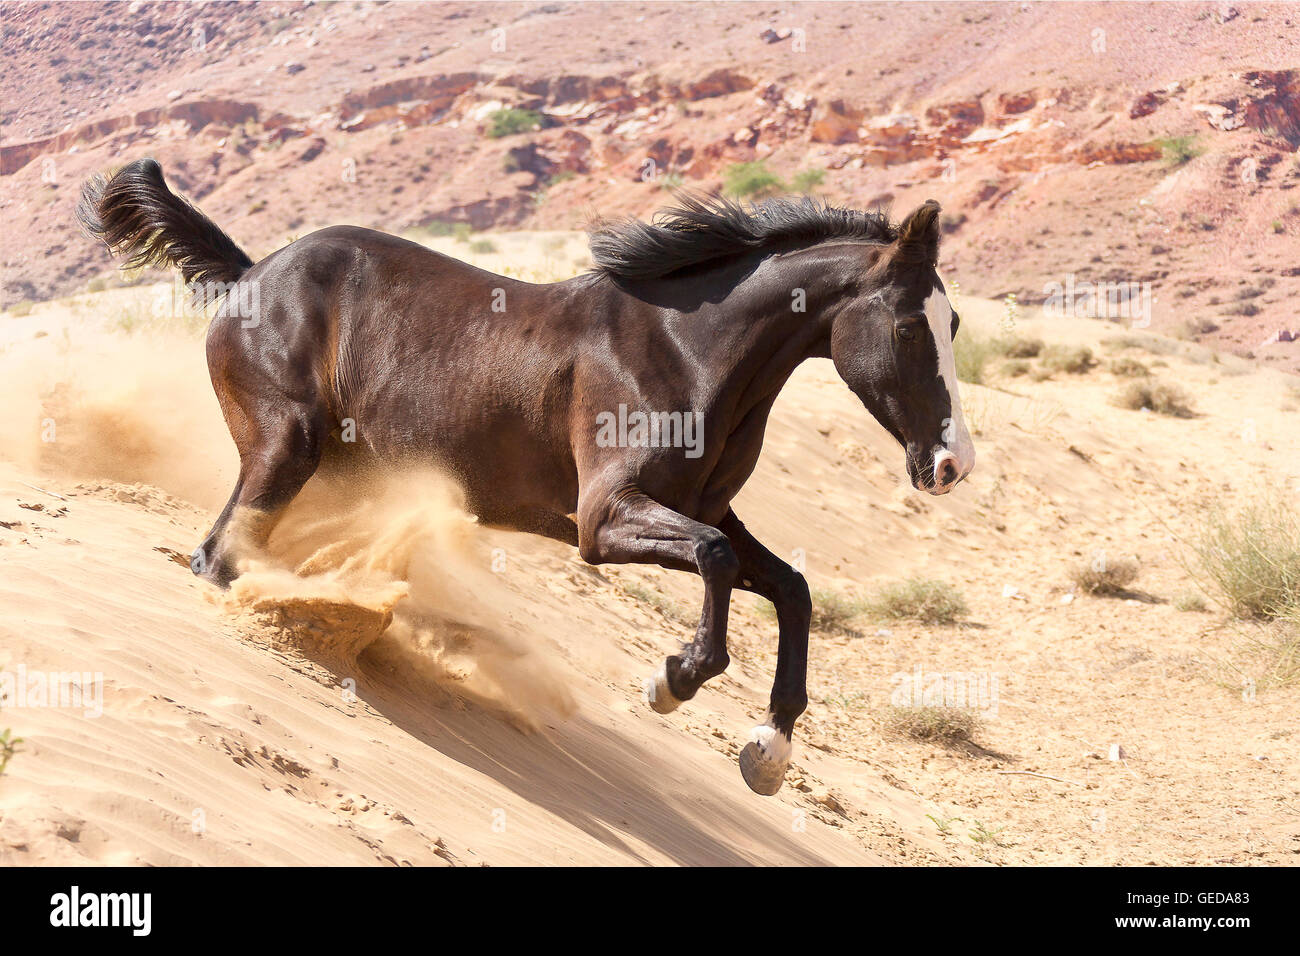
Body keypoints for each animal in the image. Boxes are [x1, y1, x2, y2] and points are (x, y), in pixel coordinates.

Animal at [78, 160, 977, 796]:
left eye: (955, 322)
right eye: (908, 325)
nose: (951, 465)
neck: (689, 352)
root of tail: (250, 272)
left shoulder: (706, 509)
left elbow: (790, 587)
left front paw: (768, 752)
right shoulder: (605, 520)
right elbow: (717, 563)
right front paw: (672, 680)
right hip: (285, 450)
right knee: (216, 554)